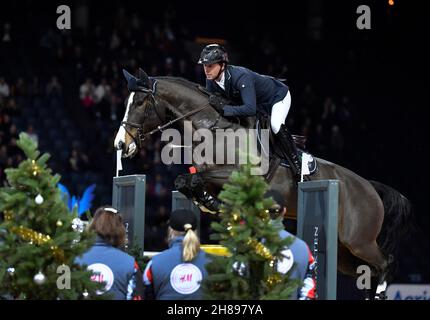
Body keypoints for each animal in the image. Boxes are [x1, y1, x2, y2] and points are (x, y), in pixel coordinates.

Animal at [115, 69, 414, 296]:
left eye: (139, 103)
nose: (121, 144)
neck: (213, 129)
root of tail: (371, 188)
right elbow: (186, 180)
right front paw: (210, 203)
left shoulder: (239, 175)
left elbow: (195, 177)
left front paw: (210, 202)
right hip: (344, 252)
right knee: (367, 270)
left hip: (358, 239)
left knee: (385, 262)